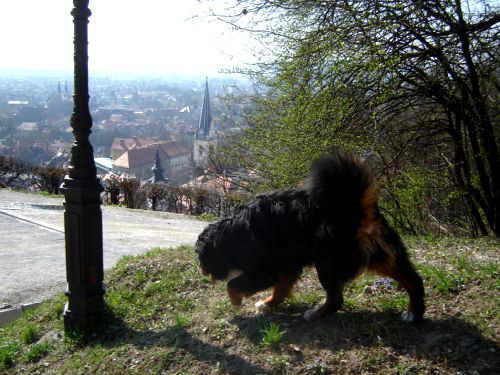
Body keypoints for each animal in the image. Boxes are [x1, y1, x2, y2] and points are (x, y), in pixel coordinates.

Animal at [195, 150, 426, 324]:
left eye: (201, 258)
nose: (201, 270)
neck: (233, 234)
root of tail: (352, 208)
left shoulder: (266, 269)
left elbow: (233, 285)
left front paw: (236, 302)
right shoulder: (287, 264)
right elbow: (281, 288)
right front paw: (269, 303)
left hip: (327, 262)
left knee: (336, 298)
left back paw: (315, 313)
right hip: (381, 254)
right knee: (413, 279)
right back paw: (414, 312)